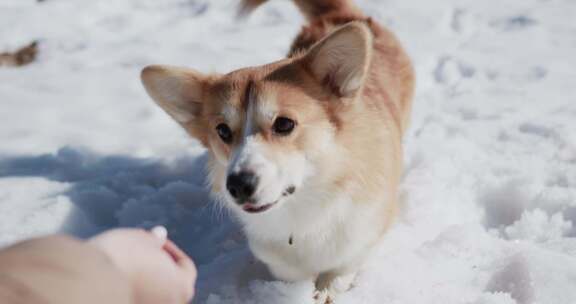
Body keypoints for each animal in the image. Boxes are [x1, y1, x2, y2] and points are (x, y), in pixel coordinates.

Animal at [141, 0, 412, 300]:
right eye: (222, 131)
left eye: (284, 124)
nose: (238, 185)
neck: (302, 209)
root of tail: (340, 15)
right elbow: (289, 272)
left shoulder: (362, 237)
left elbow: (340, 272)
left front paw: (324, 292)